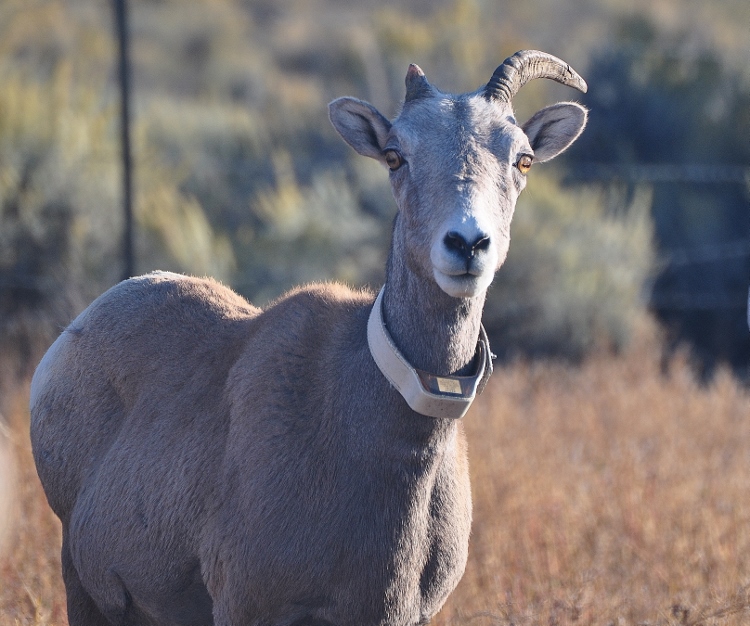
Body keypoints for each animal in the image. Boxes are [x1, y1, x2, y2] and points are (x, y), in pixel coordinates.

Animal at [32, 51, 592, 620]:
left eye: (523, 160)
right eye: (395, 156)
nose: (466, 244)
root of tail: (64, 347)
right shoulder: (246, 607)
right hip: (82, 586)